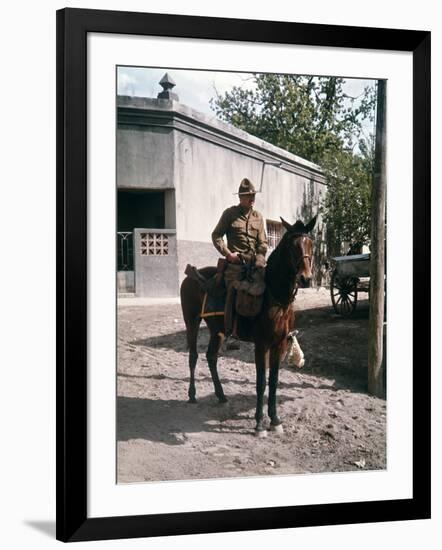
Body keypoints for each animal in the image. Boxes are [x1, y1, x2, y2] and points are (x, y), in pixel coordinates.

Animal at [178, 218, 316, 438]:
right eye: (291, 246)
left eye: (311, 244)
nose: (306, 278)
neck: (274, 298)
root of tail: (189, 277)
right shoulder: (261, 345)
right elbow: (261, 383)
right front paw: (259, 423)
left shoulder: (279, 345)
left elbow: (274, 381)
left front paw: (275, 420)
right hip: (191, 321)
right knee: (193, 356)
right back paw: (192, 395)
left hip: (217, 330)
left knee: (211, 357)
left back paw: (221, 395)